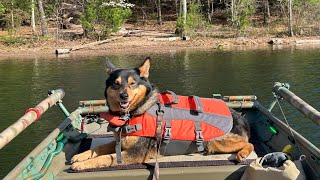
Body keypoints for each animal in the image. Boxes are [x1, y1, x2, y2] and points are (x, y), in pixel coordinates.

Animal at [71, 57, 254, 171]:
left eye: (133, 83)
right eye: (116, 84)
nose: (124, 96)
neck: (134, 112)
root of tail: (240, 118)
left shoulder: (134, 153)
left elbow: (105, 157)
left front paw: (81, 165)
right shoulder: (121, 143)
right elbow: (99, 148)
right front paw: (80, 156)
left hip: (216, 142)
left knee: (249, 144)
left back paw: (243, 153)